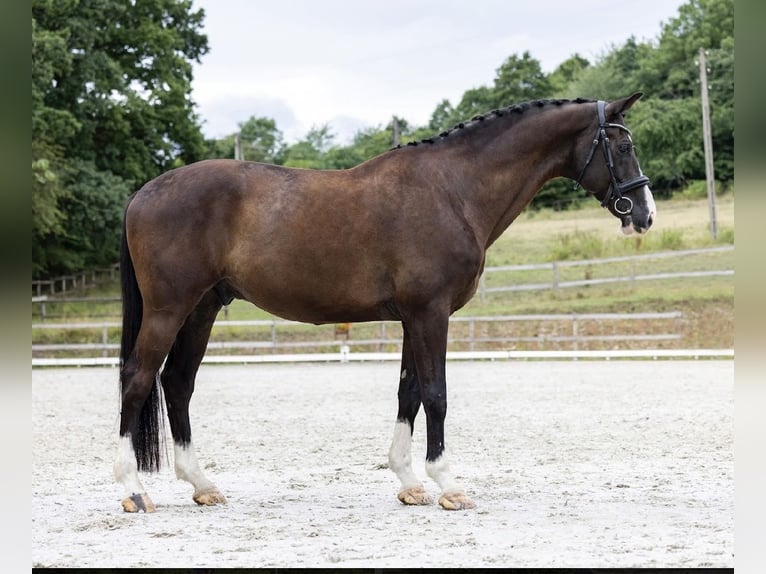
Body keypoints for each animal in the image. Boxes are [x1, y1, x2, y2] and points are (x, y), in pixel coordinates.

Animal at [114, 93, 656, 513]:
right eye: (624, 146)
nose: (644, 214)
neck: (452, 189)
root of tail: (143, 193)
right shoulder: (430, 314)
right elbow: (436, 395)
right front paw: (449, 485)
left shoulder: (413, 318)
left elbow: (408, 393)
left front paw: (410, 483)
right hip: (169, 309)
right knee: (138, 380)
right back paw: (134, 490)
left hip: (202, 309)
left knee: (177, 384)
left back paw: (202, 485)